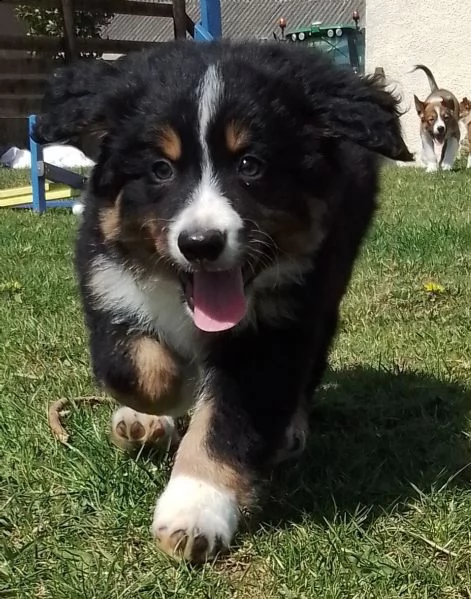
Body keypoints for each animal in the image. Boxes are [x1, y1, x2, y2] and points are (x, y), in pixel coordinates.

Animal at [34, 41, 412, 564]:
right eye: (161, 169)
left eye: (250, 165)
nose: (200, 244)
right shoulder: (106, 279)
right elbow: (136, 370)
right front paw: (163, 403)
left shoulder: (275, 327)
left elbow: (226, 422)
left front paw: (196, 510)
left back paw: (289, 430)